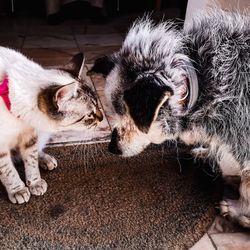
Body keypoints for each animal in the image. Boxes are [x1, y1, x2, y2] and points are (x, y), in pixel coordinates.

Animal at [0, 46, 102, 203]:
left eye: (97, 106)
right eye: (90, 115)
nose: (102, 118)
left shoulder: (30, 134)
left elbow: (31, 161)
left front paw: (35, 183)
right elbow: (8, 171)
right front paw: (18, 190)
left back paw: (46, 160)